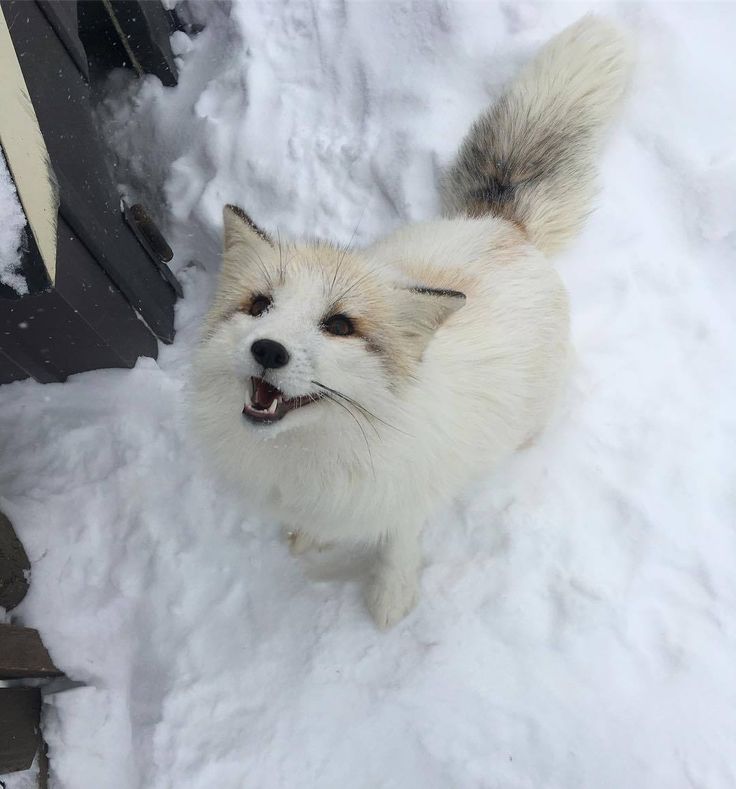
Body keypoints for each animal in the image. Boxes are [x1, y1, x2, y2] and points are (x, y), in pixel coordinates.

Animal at [191, 16, 632, 628]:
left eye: (340, 326)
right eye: (258, 306)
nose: (268, 350)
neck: (313, 452)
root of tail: (501, 225)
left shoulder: (406, 500)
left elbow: (398, 551)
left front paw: (390, 601)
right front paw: (311, 539)